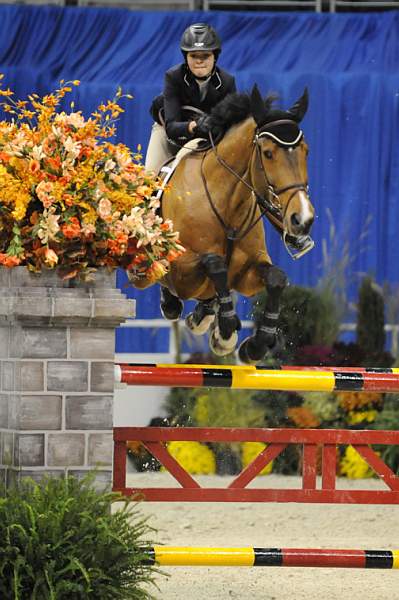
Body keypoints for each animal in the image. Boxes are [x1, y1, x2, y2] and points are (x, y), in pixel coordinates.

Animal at [134, 84, 316, 366]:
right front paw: (226, 332)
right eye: (268, 153)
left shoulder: (246, 273)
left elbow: (275, 278)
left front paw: (255, 346)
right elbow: (214, 263)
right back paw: (179, 308)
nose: (302, 219)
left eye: (306, 151)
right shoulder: (182, 273)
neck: (226, 203)